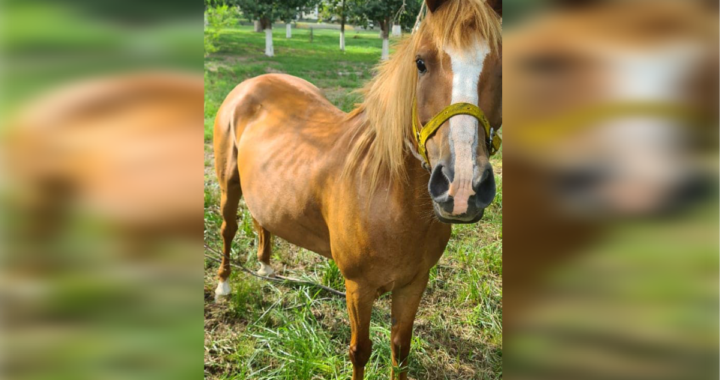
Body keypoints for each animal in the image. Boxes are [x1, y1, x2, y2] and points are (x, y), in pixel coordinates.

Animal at [212, 1, 500, 378]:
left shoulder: (413, 283)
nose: (463, 186)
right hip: (228, 183)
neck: (389, 197)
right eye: (421, 63)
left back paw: (264, 266)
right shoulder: (358, 287)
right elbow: (360, 351)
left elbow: (400, 349)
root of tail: (252, 83)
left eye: (499, 65)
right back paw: (223, 285)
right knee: (228, 229)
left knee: (262, 220)